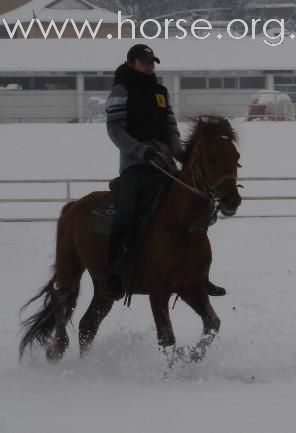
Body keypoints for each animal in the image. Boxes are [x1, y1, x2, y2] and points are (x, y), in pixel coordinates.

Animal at [19, 113, 243, 362]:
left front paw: (189, 357)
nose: (232, 200)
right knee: (60, 298)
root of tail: (72, 207)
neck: (182, 227)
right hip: (70, 266)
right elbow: (167, 339)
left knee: (88, 324)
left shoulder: (192, 288)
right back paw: (56, 349)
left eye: (236, 158)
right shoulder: (158, 291)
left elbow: (212, 324)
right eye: (211, 159)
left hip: (104, 287)